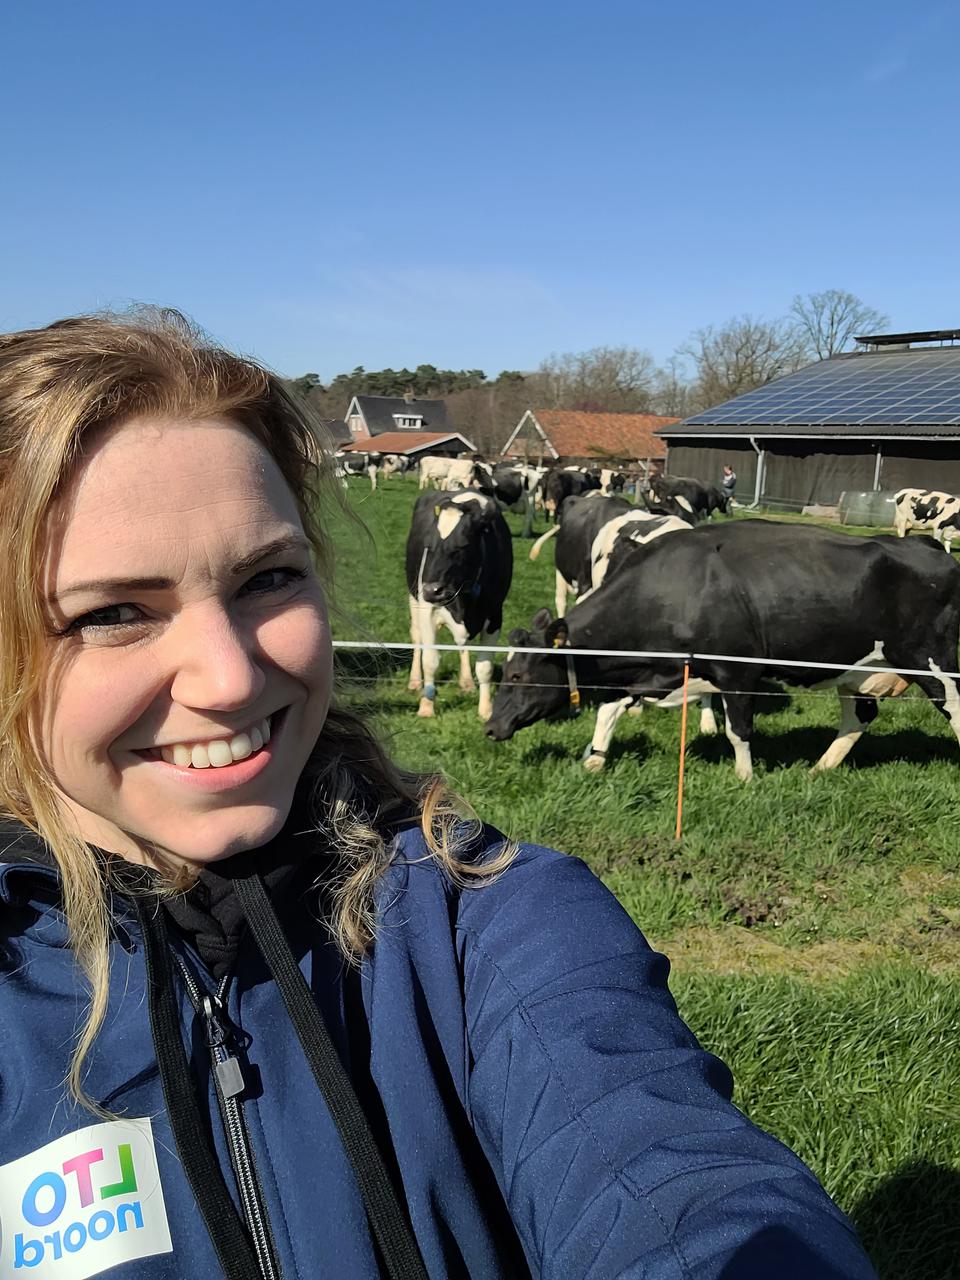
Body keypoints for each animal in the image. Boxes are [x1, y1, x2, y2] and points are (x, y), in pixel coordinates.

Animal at [406, 490, 513, 720]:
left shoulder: (495, 614)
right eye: (429, 545)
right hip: (413, 597)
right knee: (416, 637)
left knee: (462, 645)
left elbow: (485, 667)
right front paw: (426, 707)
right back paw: (415, 681)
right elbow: (430, 660)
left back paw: (466, 681)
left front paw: (486, 709)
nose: (432, 590)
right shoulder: (427, 609)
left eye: (463, 545)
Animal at [486, 521, 960, 780]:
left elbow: (739, 730)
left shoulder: (737, 671)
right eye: (507, 673)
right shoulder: (652, 669)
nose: (490, 728)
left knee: (954, 711)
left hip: (935, 663)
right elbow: (609, 708)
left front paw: (745, 777)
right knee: (859, 716)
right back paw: (819, 768)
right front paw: (594, 760)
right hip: (857, 667)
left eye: (519, 676)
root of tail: (928, 545)